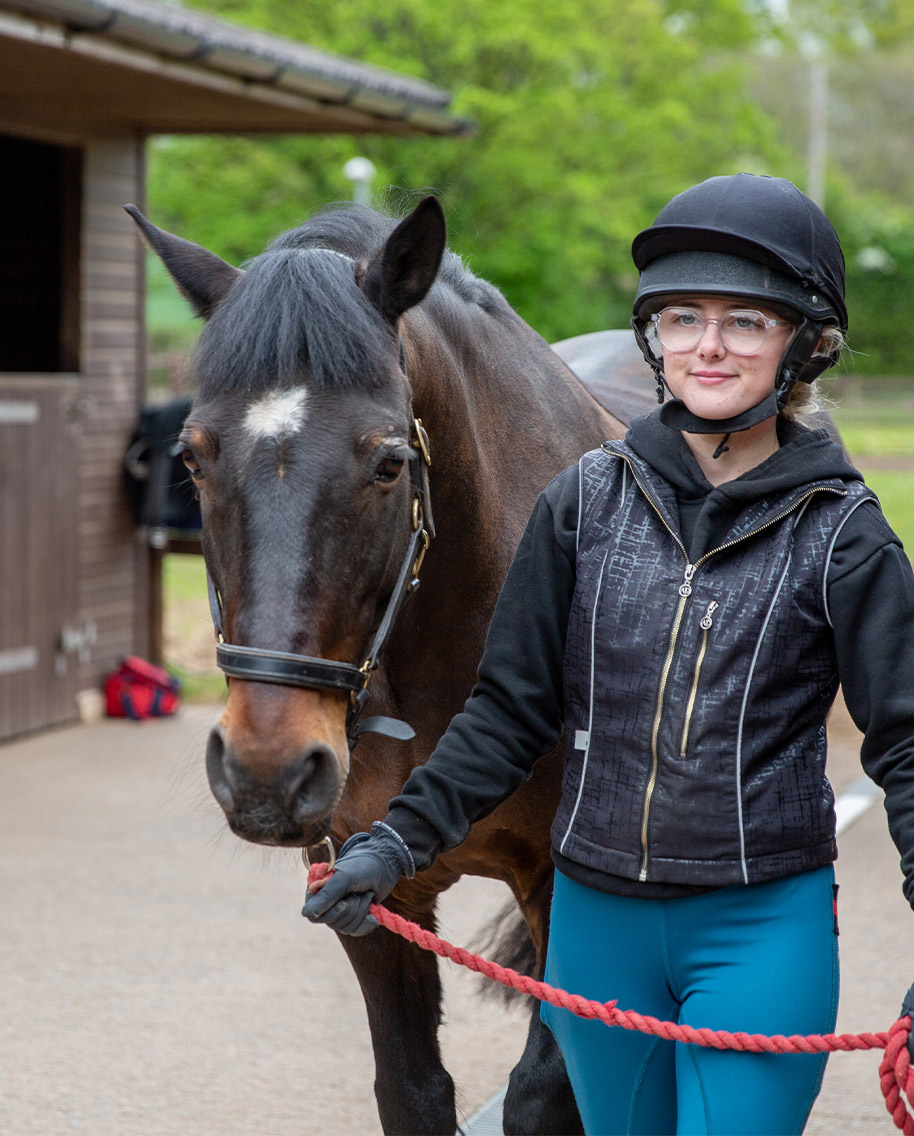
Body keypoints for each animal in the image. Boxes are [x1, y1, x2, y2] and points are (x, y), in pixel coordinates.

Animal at [128, 195, 640, 1135]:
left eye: (389, 462)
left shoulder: (565, 889)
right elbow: (411, 1090)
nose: (267, 769)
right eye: (191, 457)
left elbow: (546, 1093)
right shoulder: (371, 893)